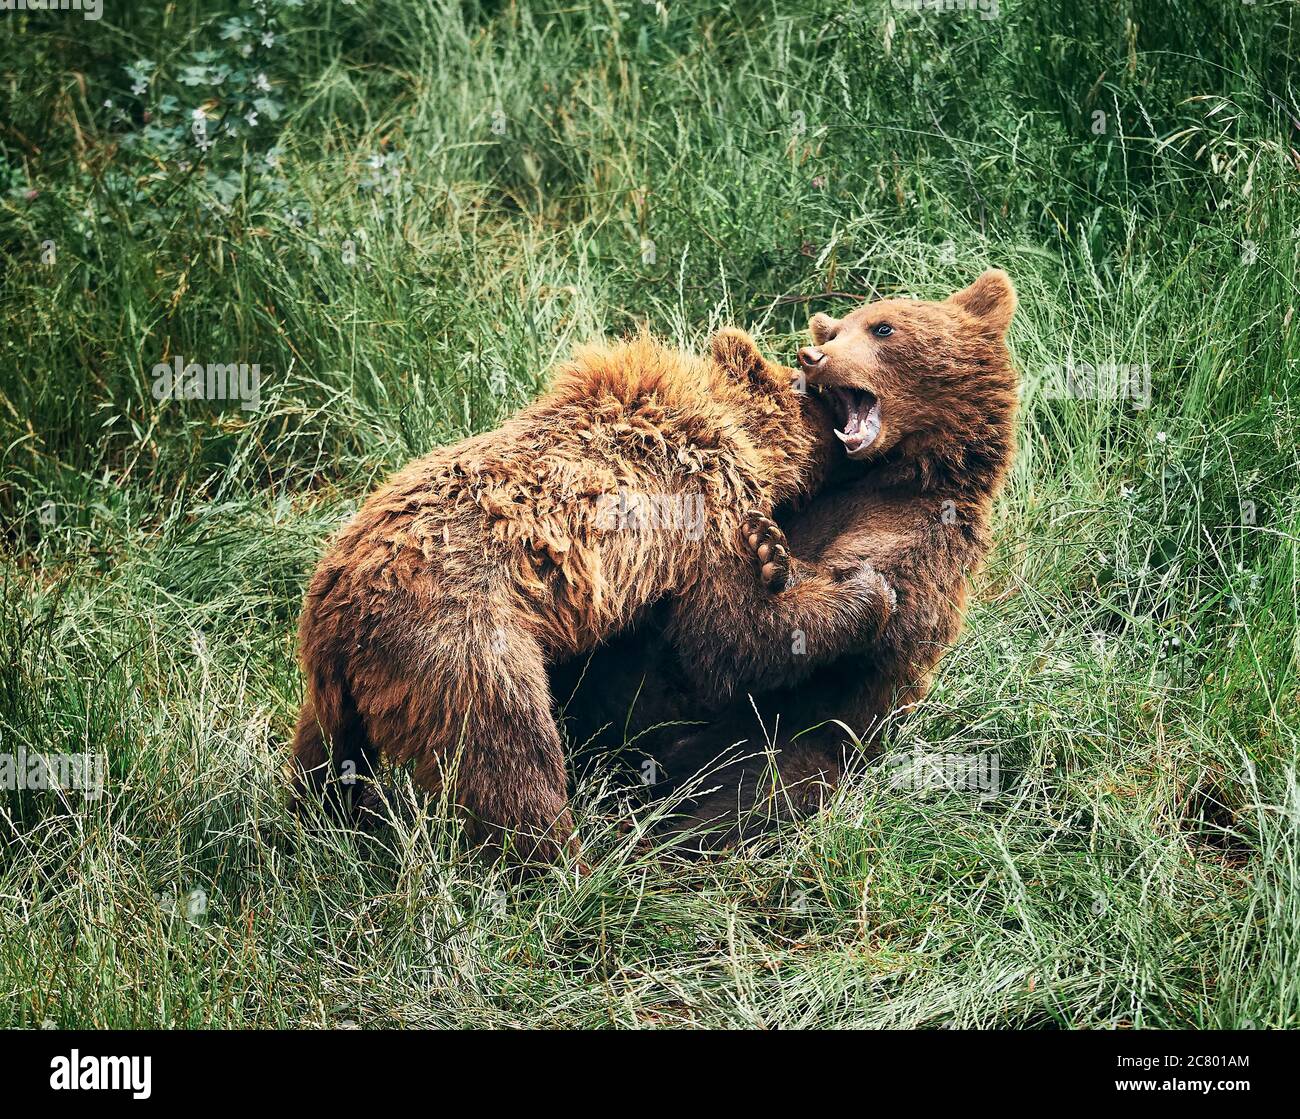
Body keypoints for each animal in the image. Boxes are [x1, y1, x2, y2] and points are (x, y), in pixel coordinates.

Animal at [292, 327, 883, 857]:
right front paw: (859, 590)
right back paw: (569, 865)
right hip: (461, 644)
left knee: (325, 754)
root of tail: (340, 604)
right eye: (821, 396)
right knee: (509, 760)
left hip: (333, 682)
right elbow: (728, 639)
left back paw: (316, 822)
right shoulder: (706, 509)